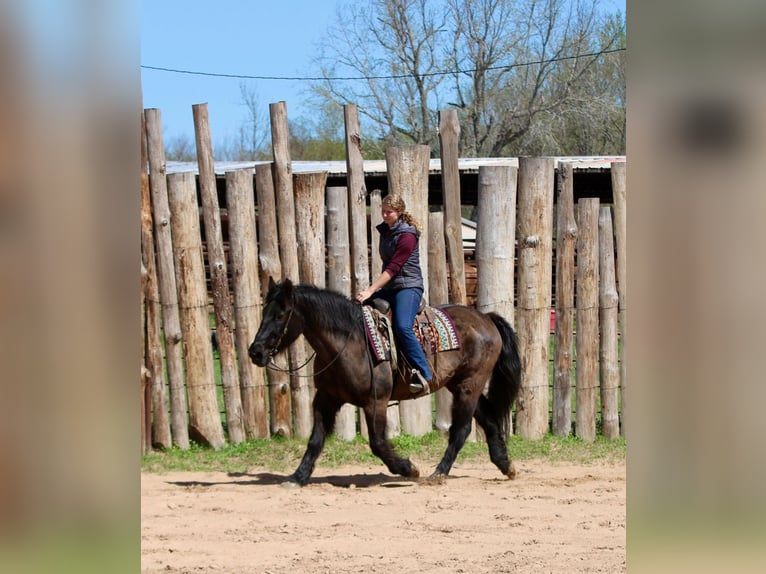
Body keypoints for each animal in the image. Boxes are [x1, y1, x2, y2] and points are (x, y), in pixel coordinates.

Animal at [248, 277, 522, 487]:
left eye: (281, 314)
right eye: (263, 312)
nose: (255, 352)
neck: (350, 341)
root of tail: (486, 318)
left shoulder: (375, 402)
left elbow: (378, 443)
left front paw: (409, 468)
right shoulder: (326, 399)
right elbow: (316, 440)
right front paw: (298, 476)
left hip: (469, 385)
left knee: (461, 430)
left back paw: (438, 473)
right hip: (459, 384)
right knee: (489, 420)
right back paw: (506, 465)